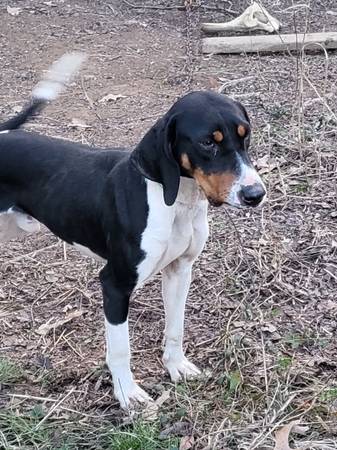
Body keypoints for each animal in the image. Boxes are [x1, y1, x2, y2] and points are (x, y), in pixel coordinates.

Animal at [1, 52, 266, 408]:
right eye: (207, 142)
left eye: (245, 135)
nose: (255, 194)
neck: (176, 202)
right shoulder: (115, 285)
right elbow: (120, 350)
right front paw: (128, 394)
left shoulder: (180, 270)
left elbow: (175, 327)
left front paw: (176, 366)